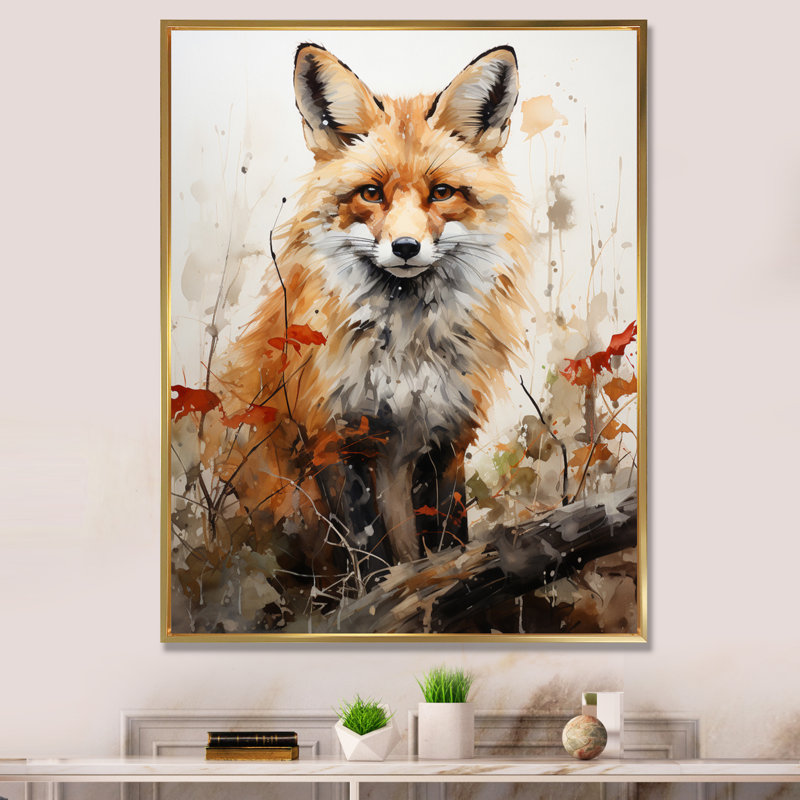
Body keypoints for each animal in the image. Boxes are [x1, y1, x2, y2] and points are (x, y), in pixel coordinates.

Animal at [217, 43, 530, 585]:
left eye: (442, 192)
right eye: (371, 193)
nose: (405, 247)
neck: (405, 353)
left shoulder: (446, 435)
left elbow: (448, 538)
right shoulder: (334, 436)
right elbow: (368, 555)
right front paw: (378, 596)